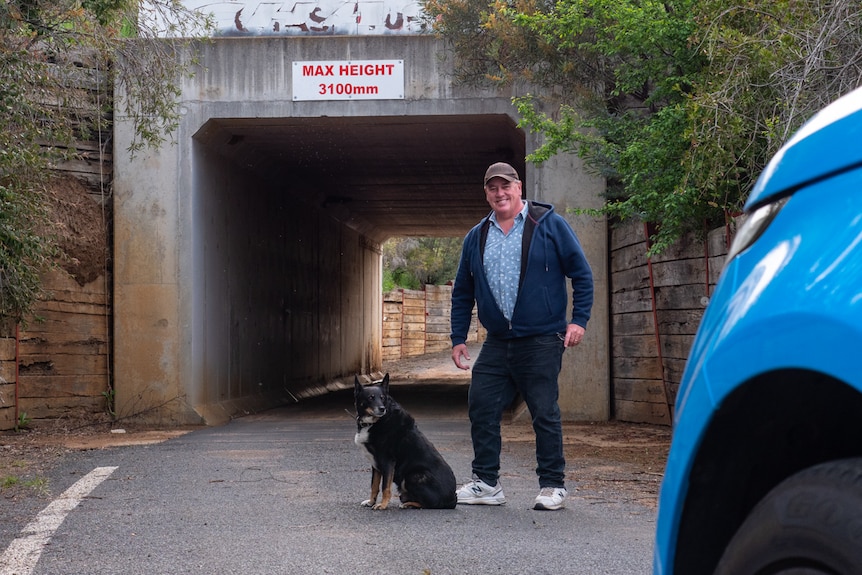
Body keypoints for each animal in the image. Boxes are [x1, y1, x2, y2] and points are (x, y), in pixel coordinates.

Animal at [352, 376, 460, 510]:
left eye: (382, 397)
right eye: (370, 397)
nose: (382, 409)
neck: (375, 422)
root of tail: (452, 499)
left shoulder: (387, 461)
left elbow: (385, 487)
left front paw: (382, 505)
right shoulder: (375, 464)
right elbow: (374, 485)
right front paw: (371, 502)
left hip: (413, 476)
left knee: (428, 504)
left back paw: (408, 504)